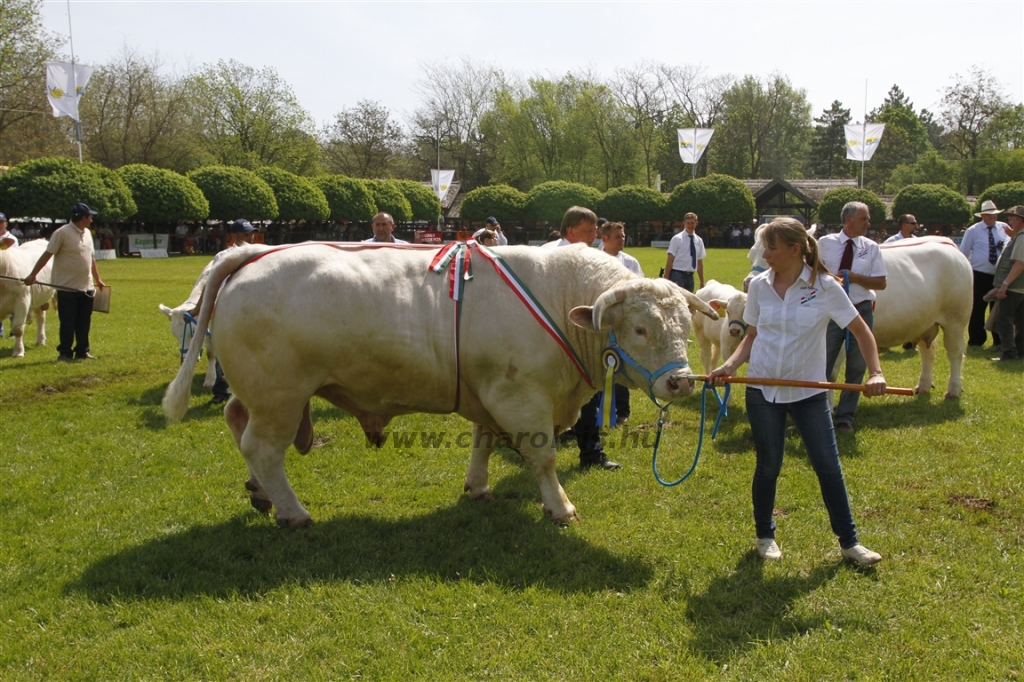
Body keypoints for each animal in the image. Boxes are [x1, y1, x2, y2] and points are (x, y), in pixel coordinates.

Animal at [745, 231, 966, 395]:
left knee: (955, 353)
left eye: (771, 252)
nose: (749, 282)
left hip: (956, 319)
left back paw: (954, 390)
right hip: (925, 322)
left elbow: (829, 375)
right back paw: (924, 386)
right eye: (751, 254)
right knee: (928, 351)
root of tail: (946, 243)